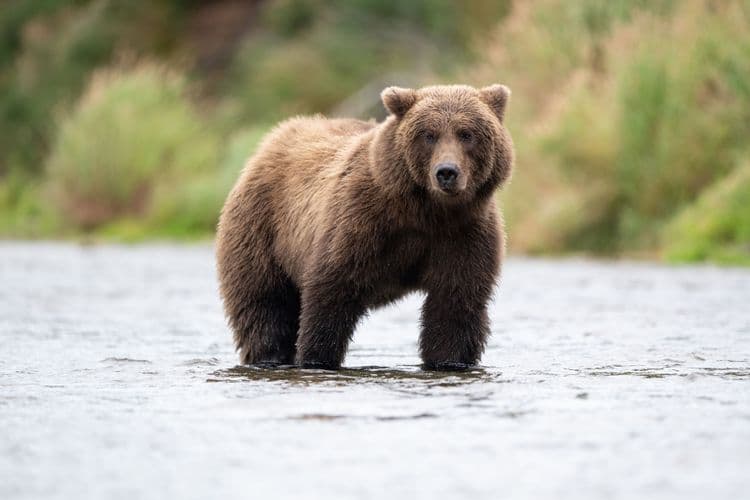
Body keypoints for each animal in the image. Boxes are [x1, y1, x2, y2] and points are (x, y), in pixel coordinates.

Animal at [216, 84, 514, 370]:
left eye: (466, 133)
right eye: (429, 135)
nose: (447, 172)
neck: (426, 212)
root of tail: (271, 139)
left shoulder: (464, 234)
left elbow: (454, 306)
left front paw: (449, 360)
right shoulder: (360, 222)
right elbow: (331, 291)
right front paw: (317, 358)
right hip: (262, 230)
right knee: (264, 306)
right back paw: (269, 356)